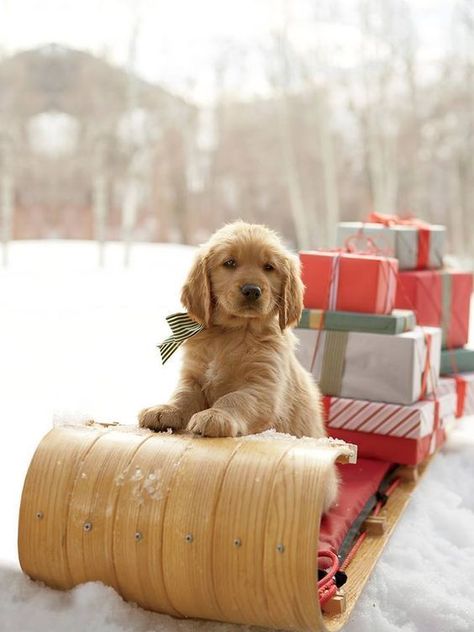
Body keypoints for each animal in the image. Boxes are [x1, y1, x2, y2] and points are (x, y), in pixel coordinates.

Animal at [139, 222, 338, 508]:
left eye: (269, 267)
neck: (232, 333)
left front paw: (215, 416)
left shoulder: (262, 388)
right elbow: (183, 396)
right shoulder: (193, 378)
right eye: (230, 263)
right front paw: (165, 410)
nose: (252, 290)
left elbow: (235, 398)